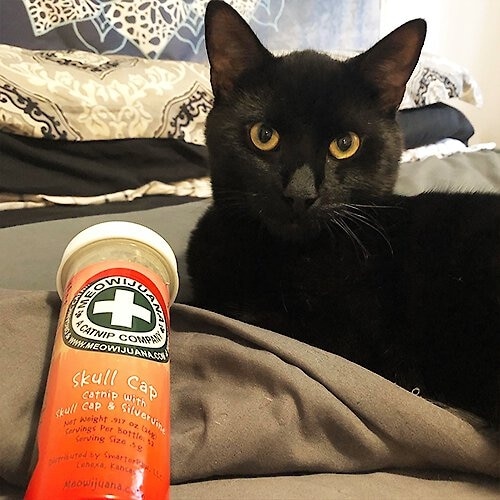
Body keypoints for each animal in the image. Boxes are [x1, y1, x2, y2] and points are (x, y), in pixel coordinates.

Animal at [187, 0, 500, 428]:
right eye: (264, 136)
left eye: (345, 144)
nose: (300, 193)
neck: (287, 256)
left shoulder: (346, 340)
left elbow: (229, 314)